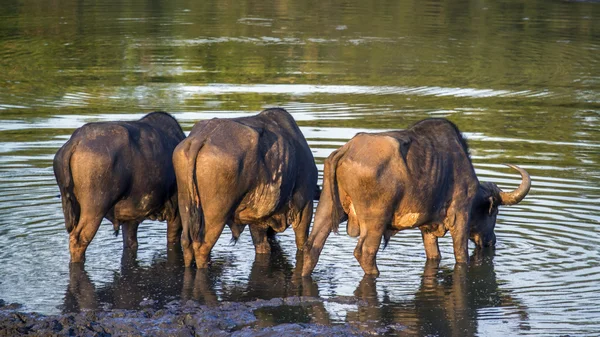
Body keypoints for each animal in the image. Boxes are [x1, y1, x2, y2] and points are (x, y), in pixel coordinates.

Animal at [53, 111, 185, 264]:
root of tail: (75, 141)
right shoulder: (176, 214)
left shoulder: (130, 220)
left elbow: (131, 244)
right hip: (94, 210)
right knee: (78, 240)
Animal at [172, 107, 318, 268]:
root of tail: (201, 137)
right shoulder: (305, 206)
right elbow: (302, 242)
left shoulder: (257, 222)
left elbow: (262, 247)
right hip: (216, 216)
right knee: (202, 247)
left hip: (185, 205)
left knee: (186, 243)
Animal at [304, 118, 528, 276]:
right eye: (494, 212)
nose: (492, 241)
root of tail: (347, 149)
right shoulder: (460, 216)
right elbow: (461, 255)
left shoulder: (427, 226)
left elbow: (434, 255)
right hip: (376, 220)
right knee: (365, 252)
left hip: (327, 207)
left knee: (312, 246)